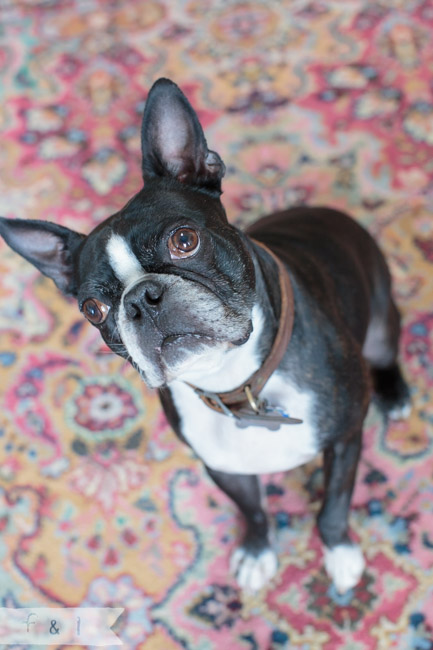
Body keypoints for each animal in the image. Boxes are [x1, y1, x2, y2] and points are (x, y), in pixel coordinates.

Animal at [0, 77, 408, 592]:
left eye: (184, 240)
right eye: (93, 310)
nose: (141, 299)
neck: (237, 384)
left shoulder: (345, 438)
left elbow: (332, 506)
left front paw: (340, 554)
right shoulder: (222, 467)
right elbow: (253, 509)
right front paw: (256, 552)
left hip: (381, 324)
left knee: (386, 353)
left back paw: (395, 395)